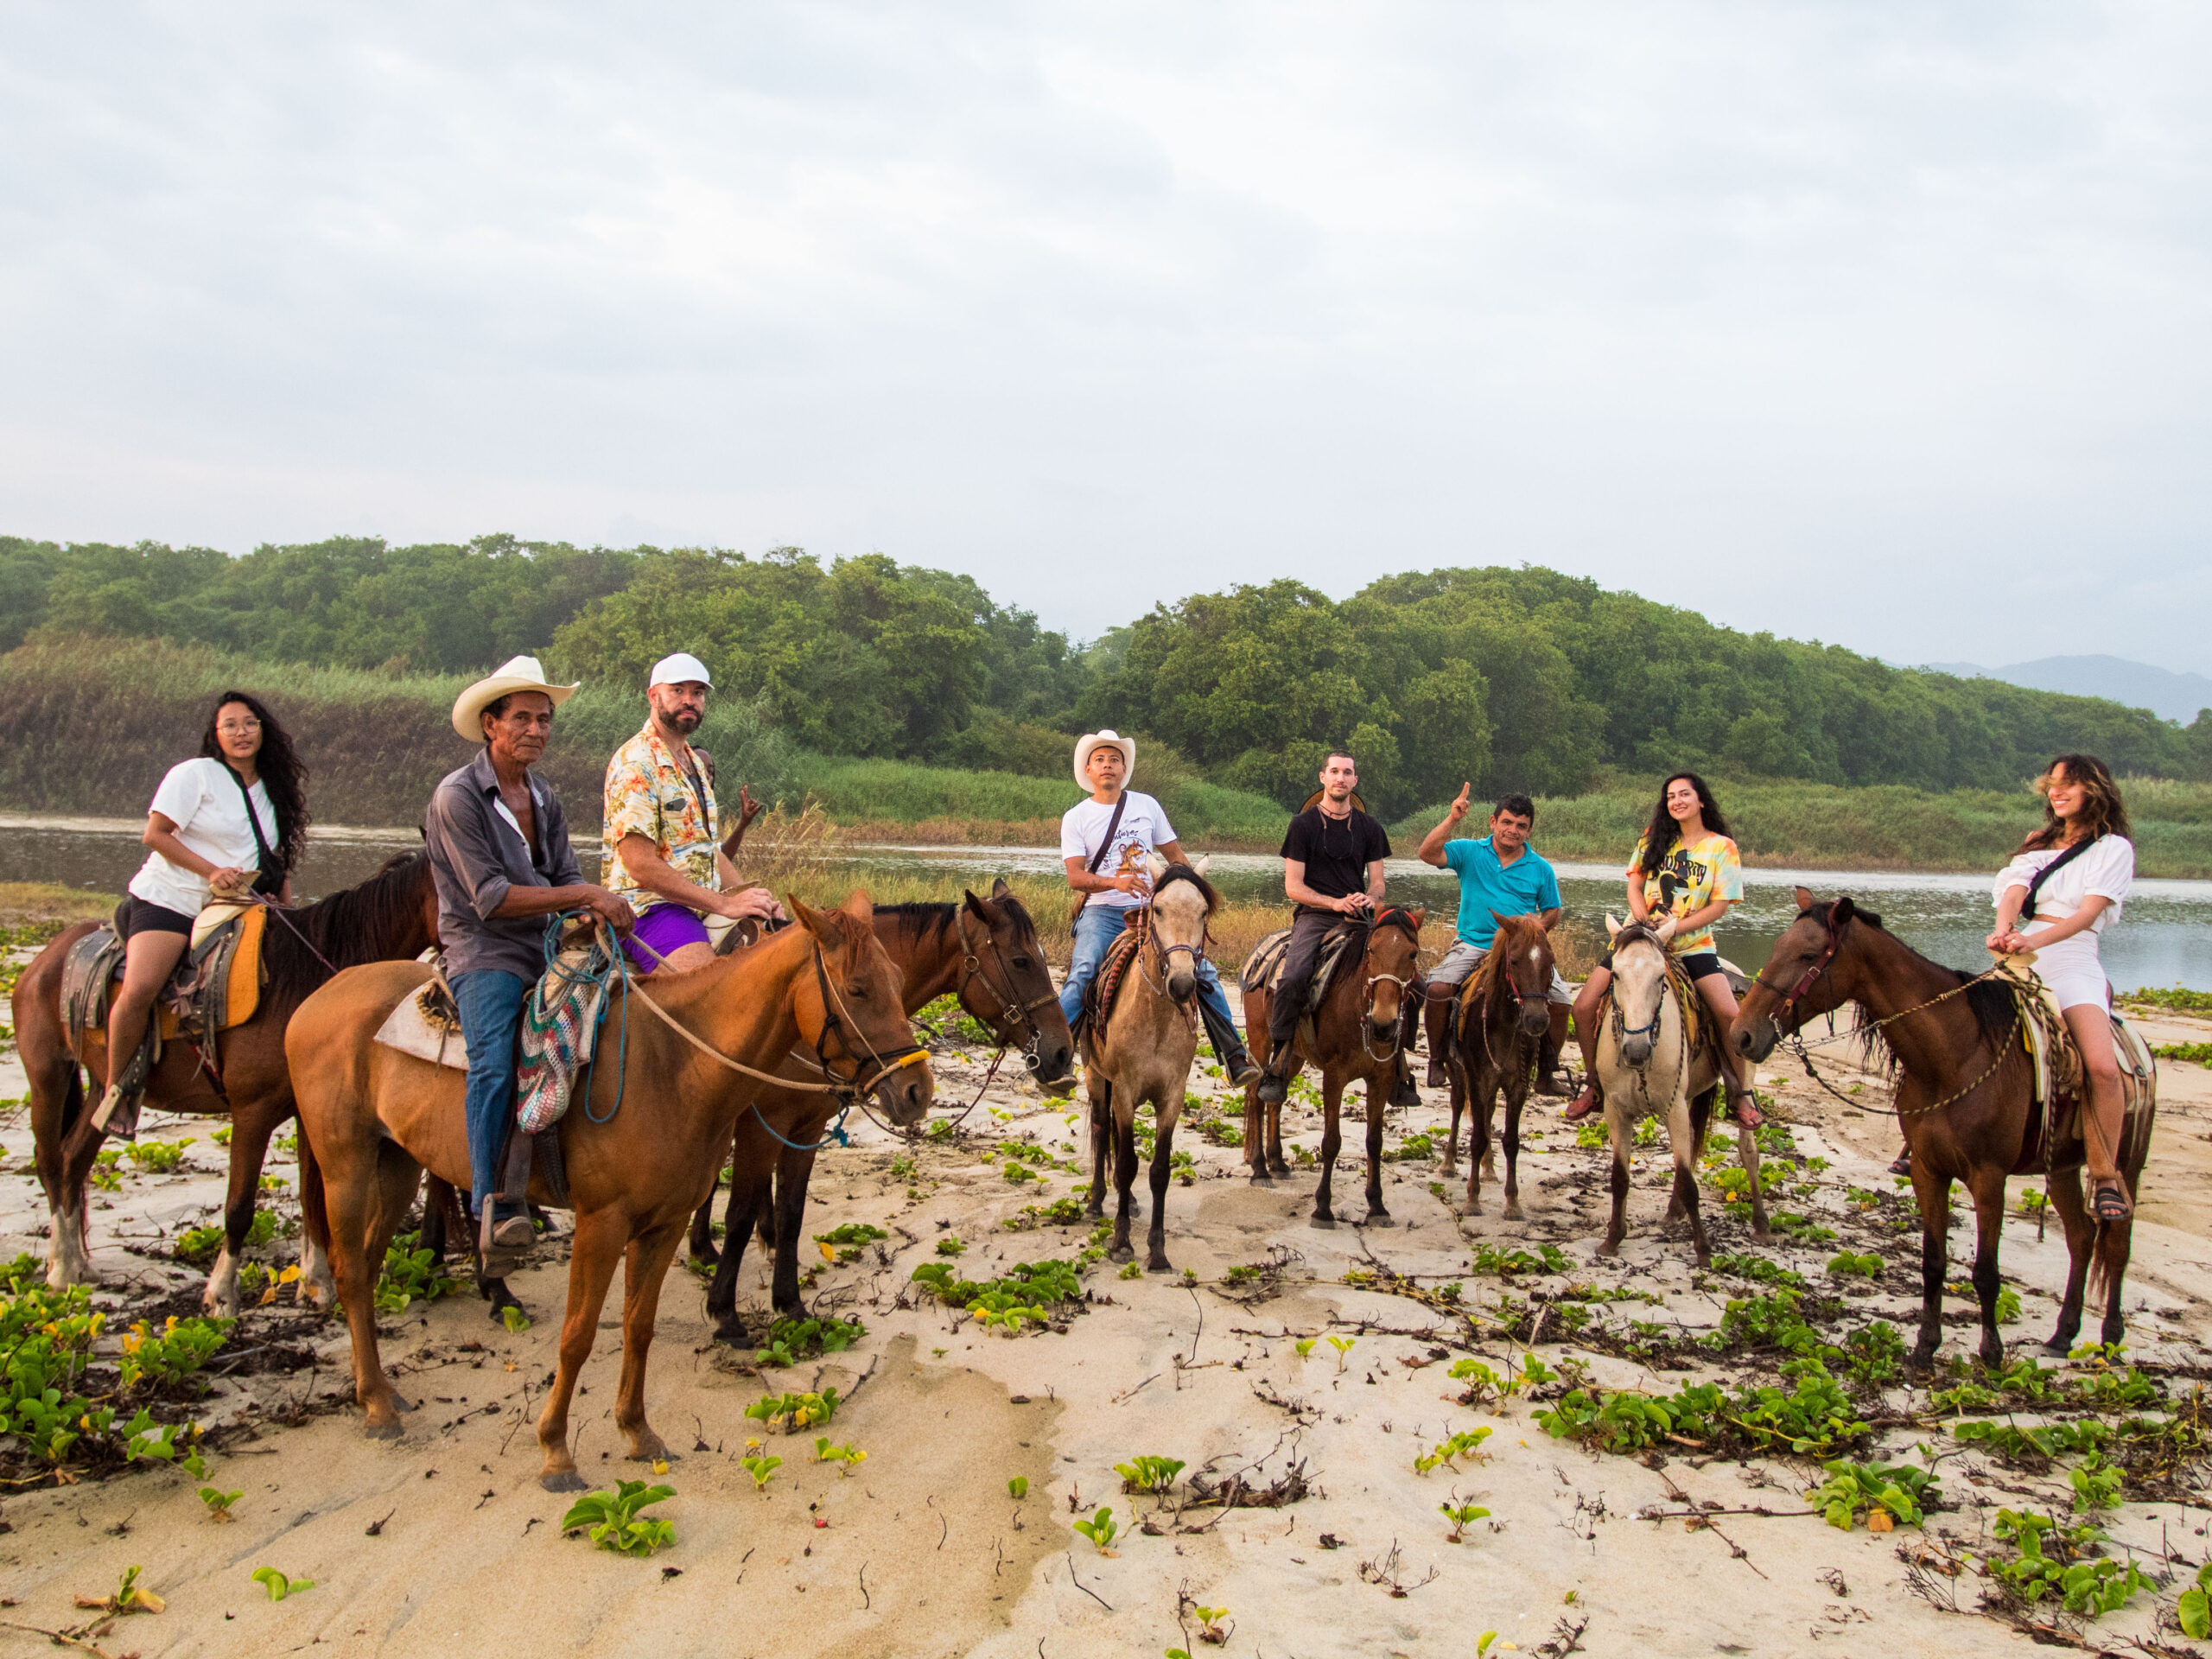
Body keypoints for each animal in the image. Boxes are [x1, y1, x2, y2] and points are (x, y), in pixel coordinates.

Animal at [15, 858, 442, 1309]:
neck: (302, 984)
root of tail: (47, 958)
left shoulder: (308, 1111)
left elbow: (312, 1198)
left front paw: (316, 1284)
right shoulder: (252, 1112)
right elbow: (239, 1207)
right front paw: (221, 1294)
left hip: (101, 1090)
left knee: (74, 1161)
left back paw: (78, 1265)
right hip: (47, 1075)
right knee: (50, 1161)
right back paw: (61, 1268)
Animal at [287, 898, 933, 1495]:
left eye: (897, 980)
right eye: (857, 988)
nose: (917, 1090)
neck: (675, 1064)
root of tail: (317, 999)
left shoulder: (664, 1222)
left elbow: (637, 1326)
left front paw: (637, 1431)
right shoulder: (603, 1223)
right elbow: (577, 1336)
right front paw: (555, 1451)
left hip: (395, 1162)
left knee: (369, 1267)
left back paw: (381, 1391)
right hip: (345, 1164)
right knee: (350, 1272)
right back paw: (376, 1404)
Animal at [685, 889, 1075, 1344]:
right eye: (1020, 961)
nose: (1062, 1052)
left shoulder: (807, 1126)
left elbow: (791, 1212)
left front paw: (790, 1303)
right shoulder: (762, 1126)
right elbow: (739, 1216)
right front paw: (725, 1313)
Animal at [1238, 902, 1424, 1230]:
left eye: (1412, 953)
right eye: (1372, 950)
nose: (1384, 1024)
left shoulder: (1381, 1078)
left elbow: (1374, 1141)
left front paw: (1377, 1206)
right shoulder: (1334, 1077)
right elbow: (1331, 1142)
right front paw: (1322, 1208)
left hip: (1293, 1055)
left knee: (1274, 1098)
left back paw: (1277, 1162)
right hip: (1260, 1038)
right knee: (1255, 1098)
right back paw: (1260, 1168)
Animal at [1725, 889, 2141, 1371]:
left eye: (1808, 955)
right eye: (1775, 949)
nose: (1742, 1035)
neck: (1954, 1056)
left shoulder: (1989, 1176)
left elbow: (1985, 1272)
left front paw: (1991, 1353)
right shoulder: (1927, 1170)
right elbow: (1933, 1262)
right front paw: (1925, 1347)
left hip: (2126, 1163)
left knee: (2117, 1244)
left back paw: (2111, 1340)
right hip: (2062, 1169)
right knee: (2081, 1237)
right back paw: (2062, 1335)